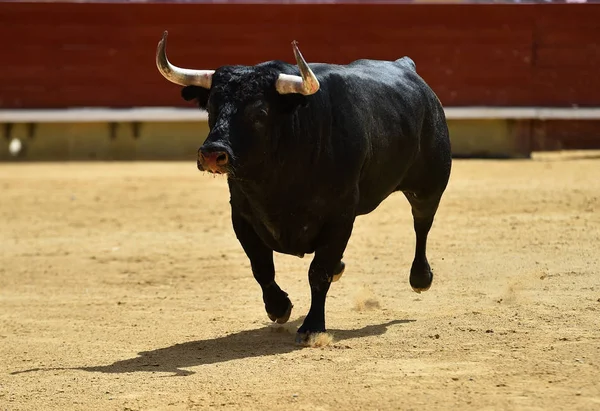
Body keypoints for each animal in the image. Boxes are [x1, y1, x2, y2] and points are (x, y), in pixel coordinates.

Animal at [157, 36, 452, 344]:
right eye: (211, 107)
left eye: (260, 112)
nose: (213, 154)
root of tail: (406, 66)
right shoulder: (241, 215)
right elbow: (261, 265)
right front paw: (279, 307)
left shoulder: (340, 216)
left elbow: (318, 272)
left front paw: (312, 326)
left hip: (430, 184)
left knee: (422, 223)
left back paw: (421, 278)